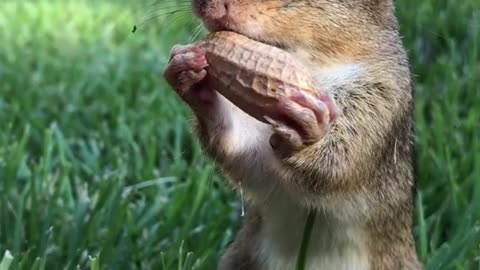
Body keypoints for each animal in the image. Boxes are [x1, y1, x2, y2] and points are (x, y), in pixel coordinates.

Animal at [163, 0, 422, 268]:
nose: (203, 6)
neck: (313, 67)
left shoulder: (382, 101)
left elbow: (342, 161)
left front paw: (306, 134)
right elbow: (247, 157)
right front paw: (188, 78)